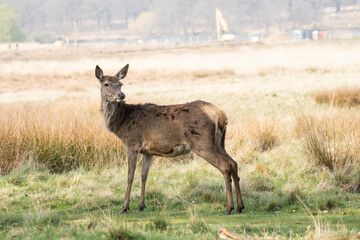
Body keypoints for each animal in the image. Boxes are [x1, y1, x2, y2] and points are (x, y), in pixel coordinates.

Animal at [95, 64, 245, 216]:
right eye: (106, 84)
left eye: (120, 84)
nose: (121, 95)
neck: (122, 123)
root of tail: (219, 114)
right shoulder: (148, 151)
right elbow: (144, 175)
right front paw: (141, 205)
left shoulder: (132, 144)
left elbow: (130, 175)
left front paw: (124, 207)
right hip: (220, 142)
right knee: (234, 163)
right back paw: (240, 206)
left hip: (202, 143)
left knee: (225, 166)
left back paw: (229, 208)